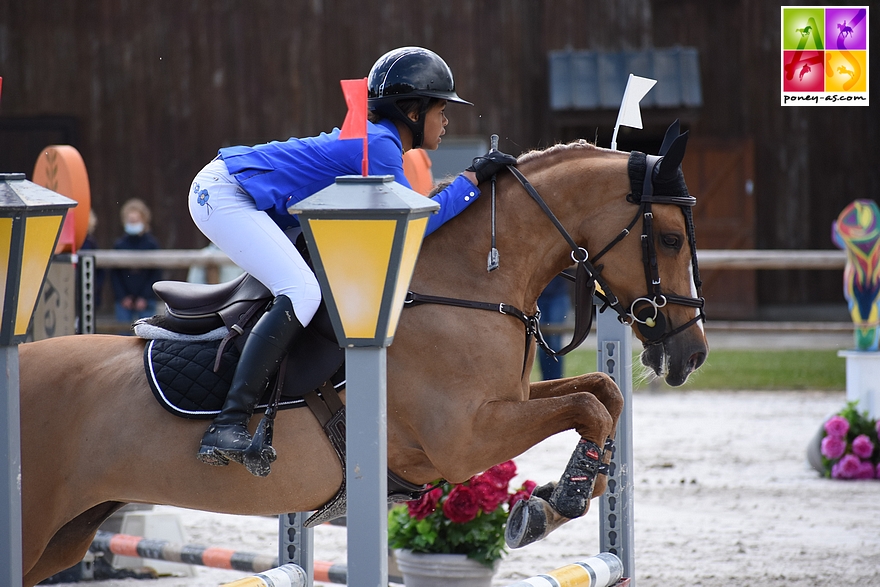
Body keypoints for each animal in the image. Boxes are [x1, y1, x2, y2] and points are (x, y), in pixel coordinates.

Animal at [20, 126, 708, 584]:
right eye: (673, 238)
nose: (693, 355)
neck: (465, 283)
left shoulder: (504, 403)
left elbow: (602, 394)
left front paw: (549, 500)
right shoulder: (465, 439)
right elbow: (589, 407)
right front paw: (552, 504)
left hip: (66, 534)